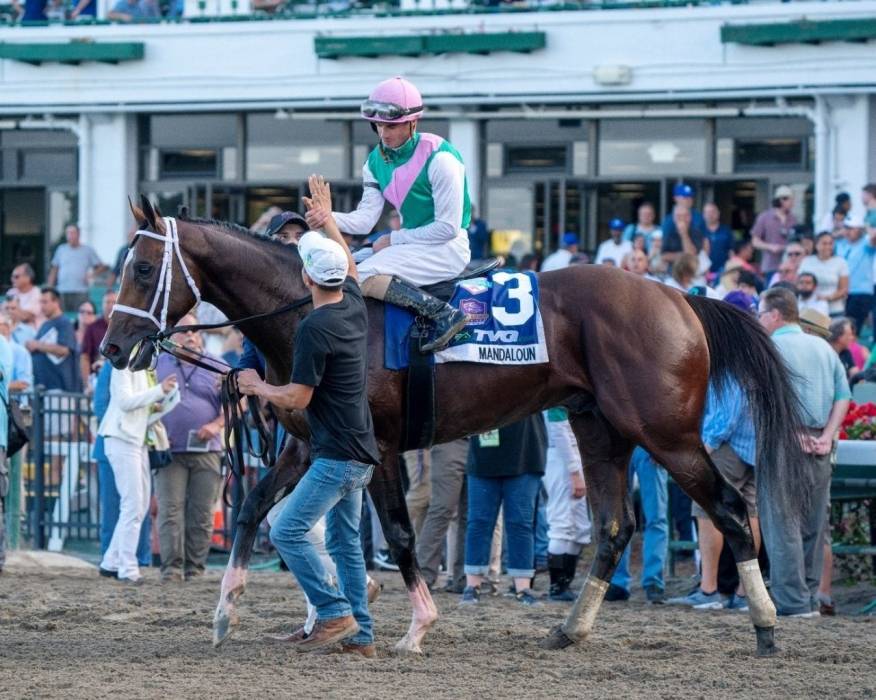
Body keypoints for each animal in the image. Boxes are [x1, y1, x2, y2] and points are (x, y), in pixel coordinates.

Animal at [101, 197, 811, 657]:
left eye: (142, 270)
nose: (111, 346)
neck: (309, 306)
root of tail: (677, 296)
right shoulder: (310, 442)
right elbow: (254, 511)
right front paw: (227, 613)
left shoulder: (380, 447)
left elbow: (399, 535)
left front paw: (416, 628)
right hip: (599, 429)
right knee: (613, 527)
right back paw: (571, 630)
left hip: (667, 434)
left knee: (728, 509)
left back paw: (768, 625)